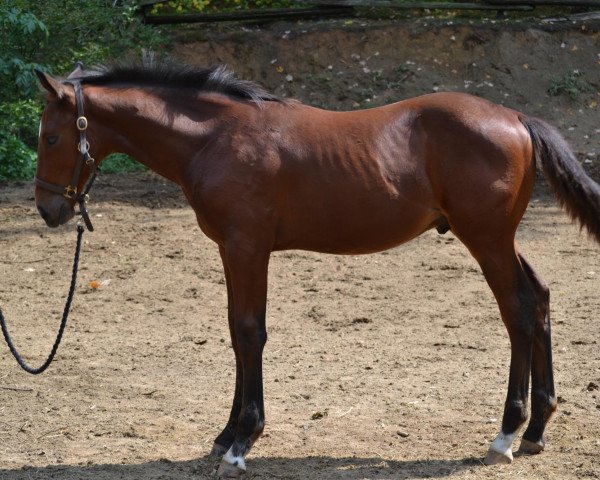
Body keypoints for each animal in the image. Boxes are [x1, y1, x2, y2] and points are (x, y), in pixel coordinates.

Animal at [34, 62, 600, 478]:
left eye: (51, 138)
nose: (48, 210)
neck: (216, 138)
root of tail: (517, 117)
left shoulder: (248, 248)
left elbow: (249, 333)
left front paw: (243, 442)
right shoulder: (230, 251)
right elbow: (236, 333)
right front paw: (225, 435)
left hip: (486, 239)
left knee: (519, 311)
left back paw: (506, 434)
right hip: (500, 240)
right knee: (540, 298)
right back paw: (537, 430)